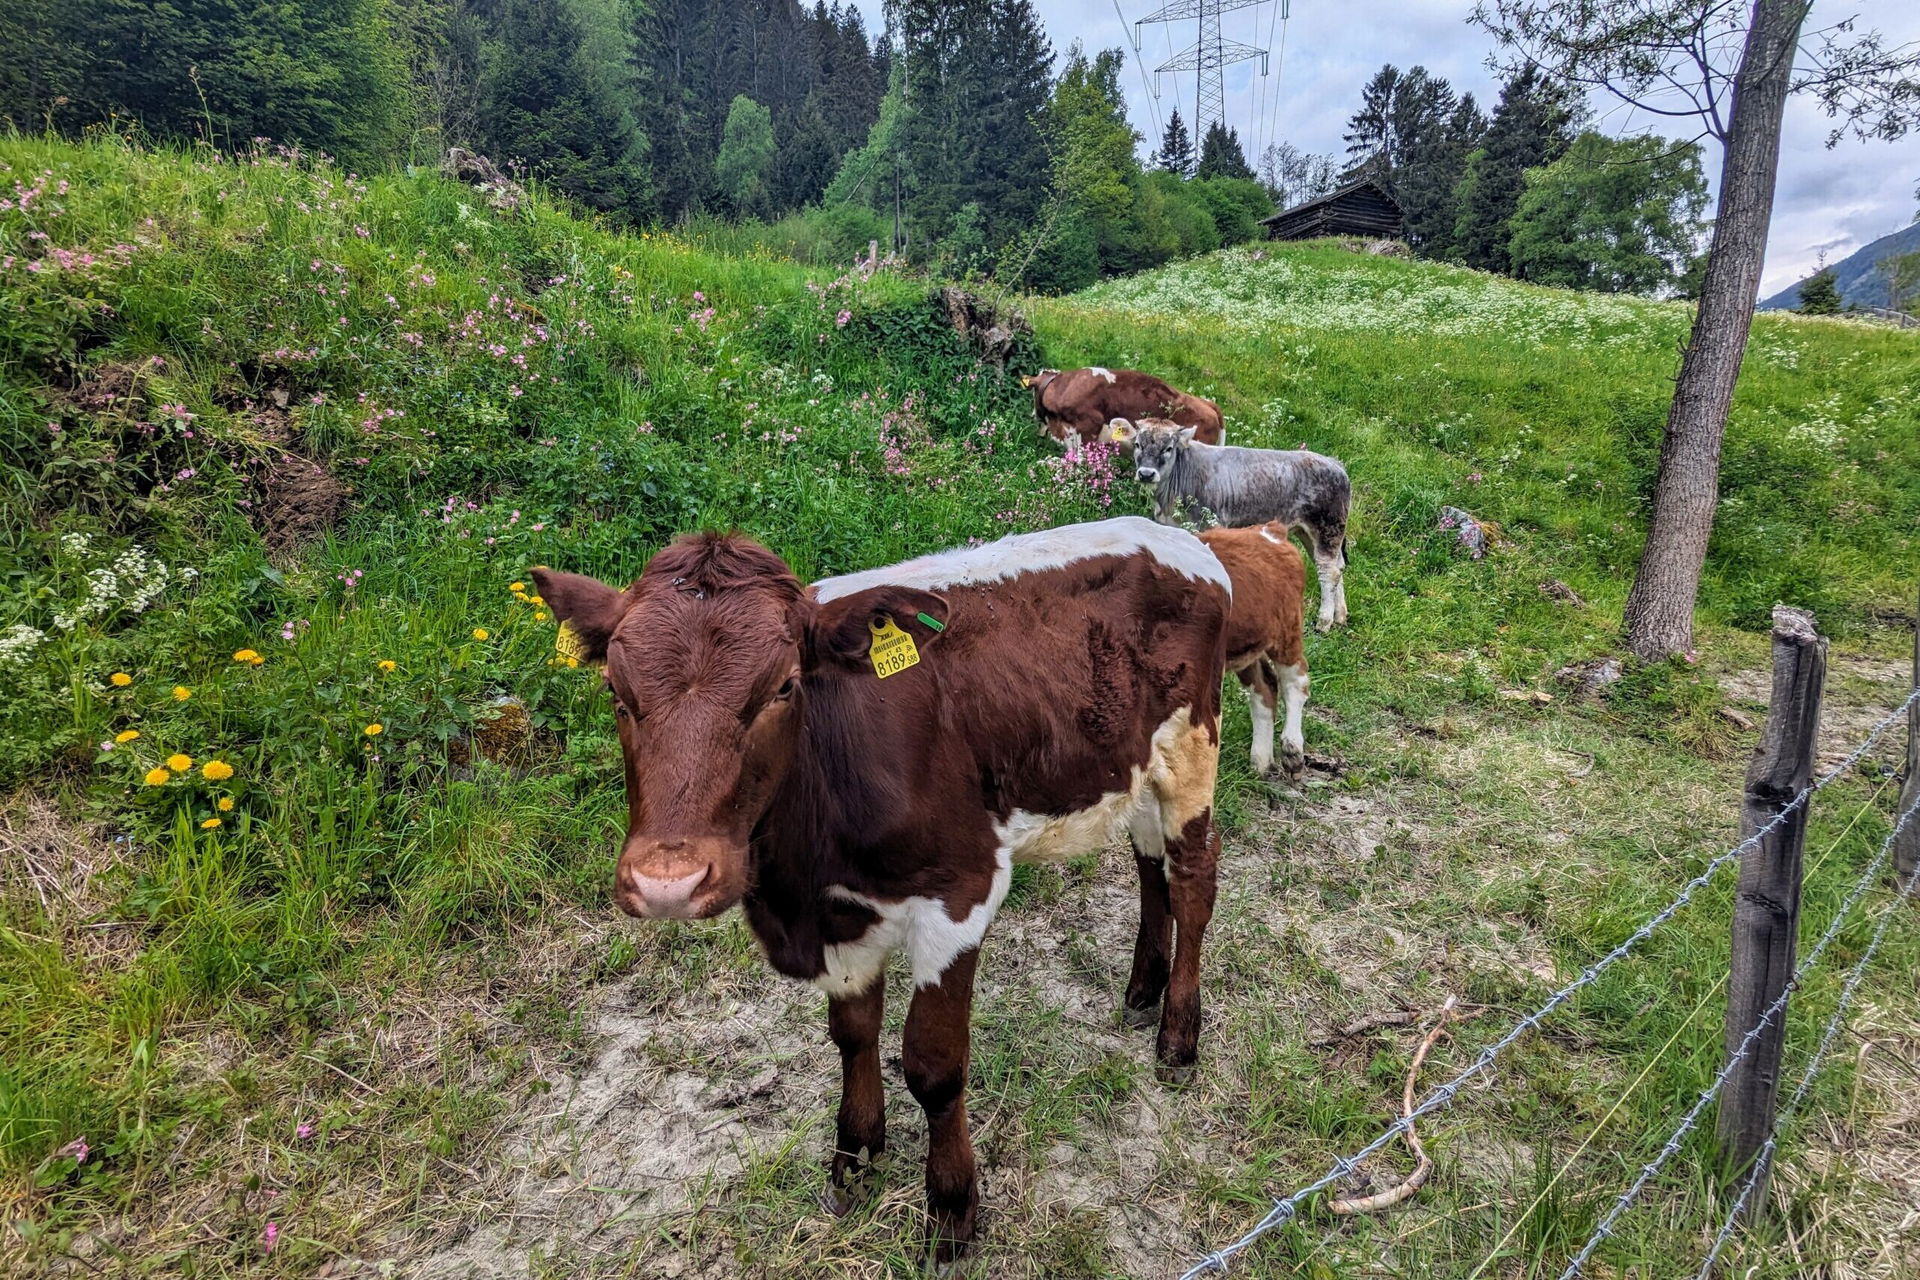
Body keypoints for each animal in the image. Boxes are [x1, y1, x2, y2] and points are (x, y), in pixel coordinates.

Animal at [531, 516, 1229, 1264]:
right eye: (616, 692)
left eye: (784, 687)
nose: (670, 882)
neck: (799, 888)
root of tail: (1171, 530)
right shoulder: (838, 918)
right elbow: (852, 1034)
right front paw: (856, 1156)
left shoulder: (961, 892)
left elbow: (933, 1064)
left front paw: (951, 1209)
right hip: (1131, 767)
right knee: (1148, 864)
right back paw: (1141, 990)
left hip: (1193, 748)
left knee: (1193, 877)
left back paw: (1178, 1035)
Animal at [1116, 419, 1351, 633]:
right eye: (1138, 444)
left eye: (1168, 448)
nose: (1146, 473)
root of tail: (1335, 464)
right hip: (1310, 533)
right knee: (1337, 566)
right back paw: (1340, 616)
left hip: (1327, 528)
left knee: (1328, 570)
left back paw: (1324, 622)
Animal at [1199, 523, 1310, 778]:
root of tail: (1268, 531)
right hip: (1245, 649)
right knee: (1265, 687)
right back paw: (1261, 762)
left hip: (1287, 630)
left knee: (1295, 681)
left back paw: (1292, 750)